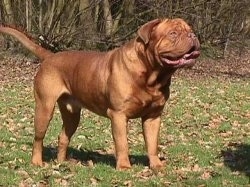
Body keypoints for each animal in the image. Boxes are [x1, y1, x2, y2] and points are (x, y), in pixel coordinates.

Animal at [0, 18, 199, 170]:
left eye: (189, 30)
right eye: (173, 34)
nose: (193, 35)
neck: (151, 74)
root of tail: (50, 56)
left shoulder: (153, 116)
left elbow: (152, 144)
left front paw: (156, 165)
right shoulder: (118, 115)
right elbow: (122, 143)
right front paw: (124, 167)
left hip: (72, 114)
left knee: (63, 136)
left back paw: (62, 162)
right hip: (44, 108)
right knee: (38, 138)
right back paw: (36, 162)